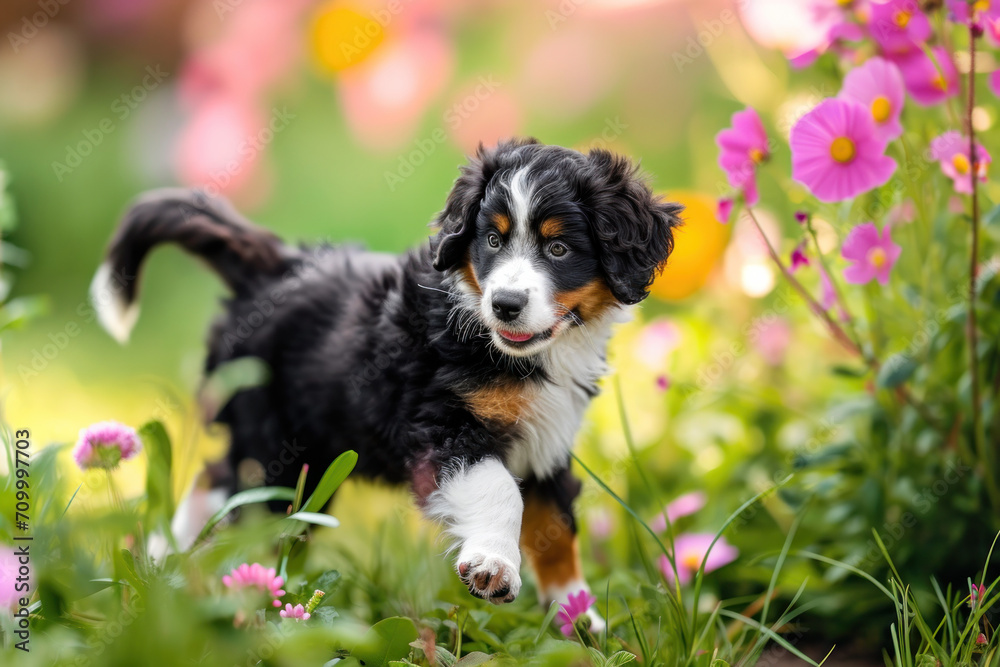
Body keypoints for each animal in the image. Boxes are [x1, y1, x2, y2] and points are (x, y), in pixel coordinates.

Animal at [92, 137, 680, 620]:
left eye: (559, 249)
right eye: (492, 241)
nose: (506, 305)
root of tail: (274, 266)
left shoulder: (546, 441)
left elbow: (557, 528)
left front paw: (579, 621)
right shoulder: (440, 425)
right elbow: (499, 492)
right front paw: (493, 566)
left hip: (305, 460)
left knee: (221, 483)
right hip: (274, 441)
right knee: (229, 488)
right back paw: (167, 564)